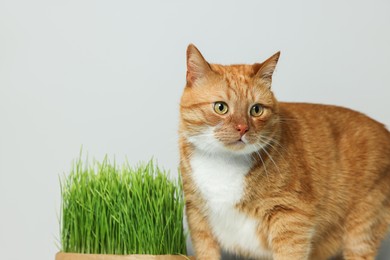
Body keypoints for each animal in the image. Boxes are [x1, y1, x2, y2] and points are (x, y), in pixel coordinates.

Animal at [179, 43, 390, 258]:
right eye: (220, 107)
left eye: (256, 110)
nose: (243, 128)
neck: (224, 164)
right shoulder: (197, 215)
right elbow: (206, 251)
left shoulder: (291, 219)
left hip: (361, 229)